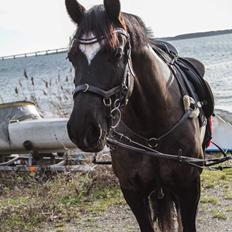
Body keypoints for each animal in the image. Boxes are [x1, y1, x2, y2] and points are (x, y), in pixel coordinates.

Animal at [65, 0, 205, 231]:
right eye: (71, 57)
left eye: (116, 53)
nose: (82, 129)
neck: (150, 130)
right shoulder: (132, 191)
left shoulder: (188, 187)